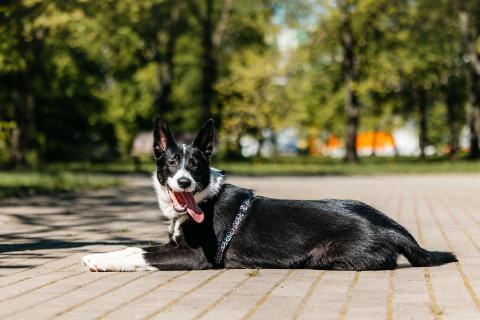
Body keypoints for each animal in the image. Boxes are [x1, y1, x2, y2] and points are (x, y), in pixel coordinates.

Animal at [81, 119, 458, 272]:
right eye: (172, 163)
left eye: (197, 165)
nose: (185, 182)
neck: (202, 201)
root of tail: (390, 228)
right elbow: (133, 248)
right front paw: (97, 256)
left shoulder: (196, 256)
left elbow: (141, 256)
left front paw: (102, 261)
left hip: (323, 256)